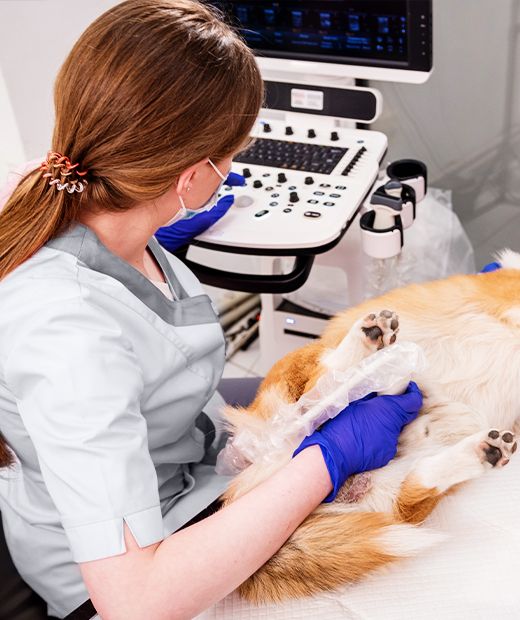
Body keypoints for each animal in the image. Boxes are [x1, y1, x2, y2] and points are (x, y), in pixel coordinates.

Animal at [221, 249, 516, 604]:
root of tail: (271, 459)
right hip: (305, 372)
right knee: (321, 384)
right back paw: (374, 344)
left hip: (398, 490)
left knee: (418, 484)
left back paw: (479, 447)